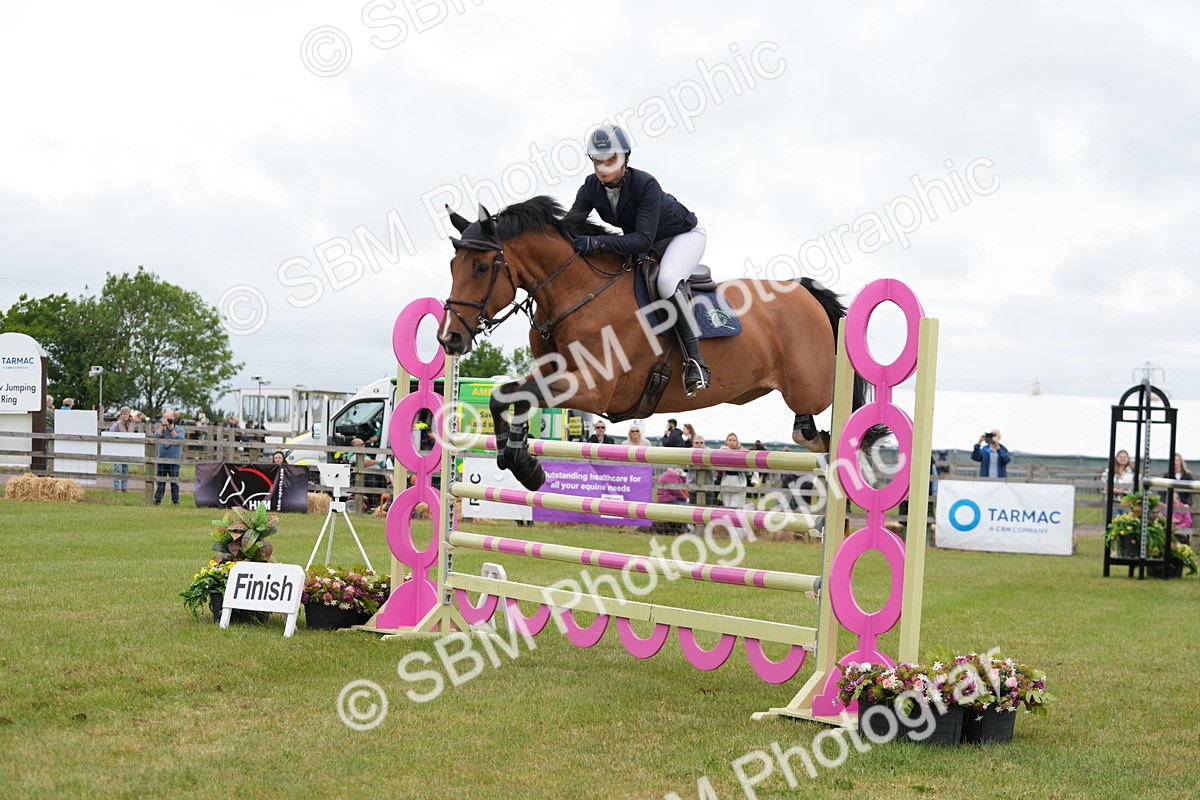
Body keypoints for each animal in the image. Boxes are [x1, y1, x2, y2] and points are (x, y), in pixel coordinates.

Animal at [437, 195, 873, 491]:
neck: (577, 290)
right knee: (810, 435)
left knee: (836, 426)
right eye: (452, 265)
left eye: (481, 267)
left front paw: (523, 463)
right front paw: (519, 460)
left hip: (814, 388)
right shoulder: (555, 373)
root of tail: (804, 292)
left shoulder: (595, 388)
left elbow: (516, 396)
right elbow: (507, 395)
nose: (449, 338)